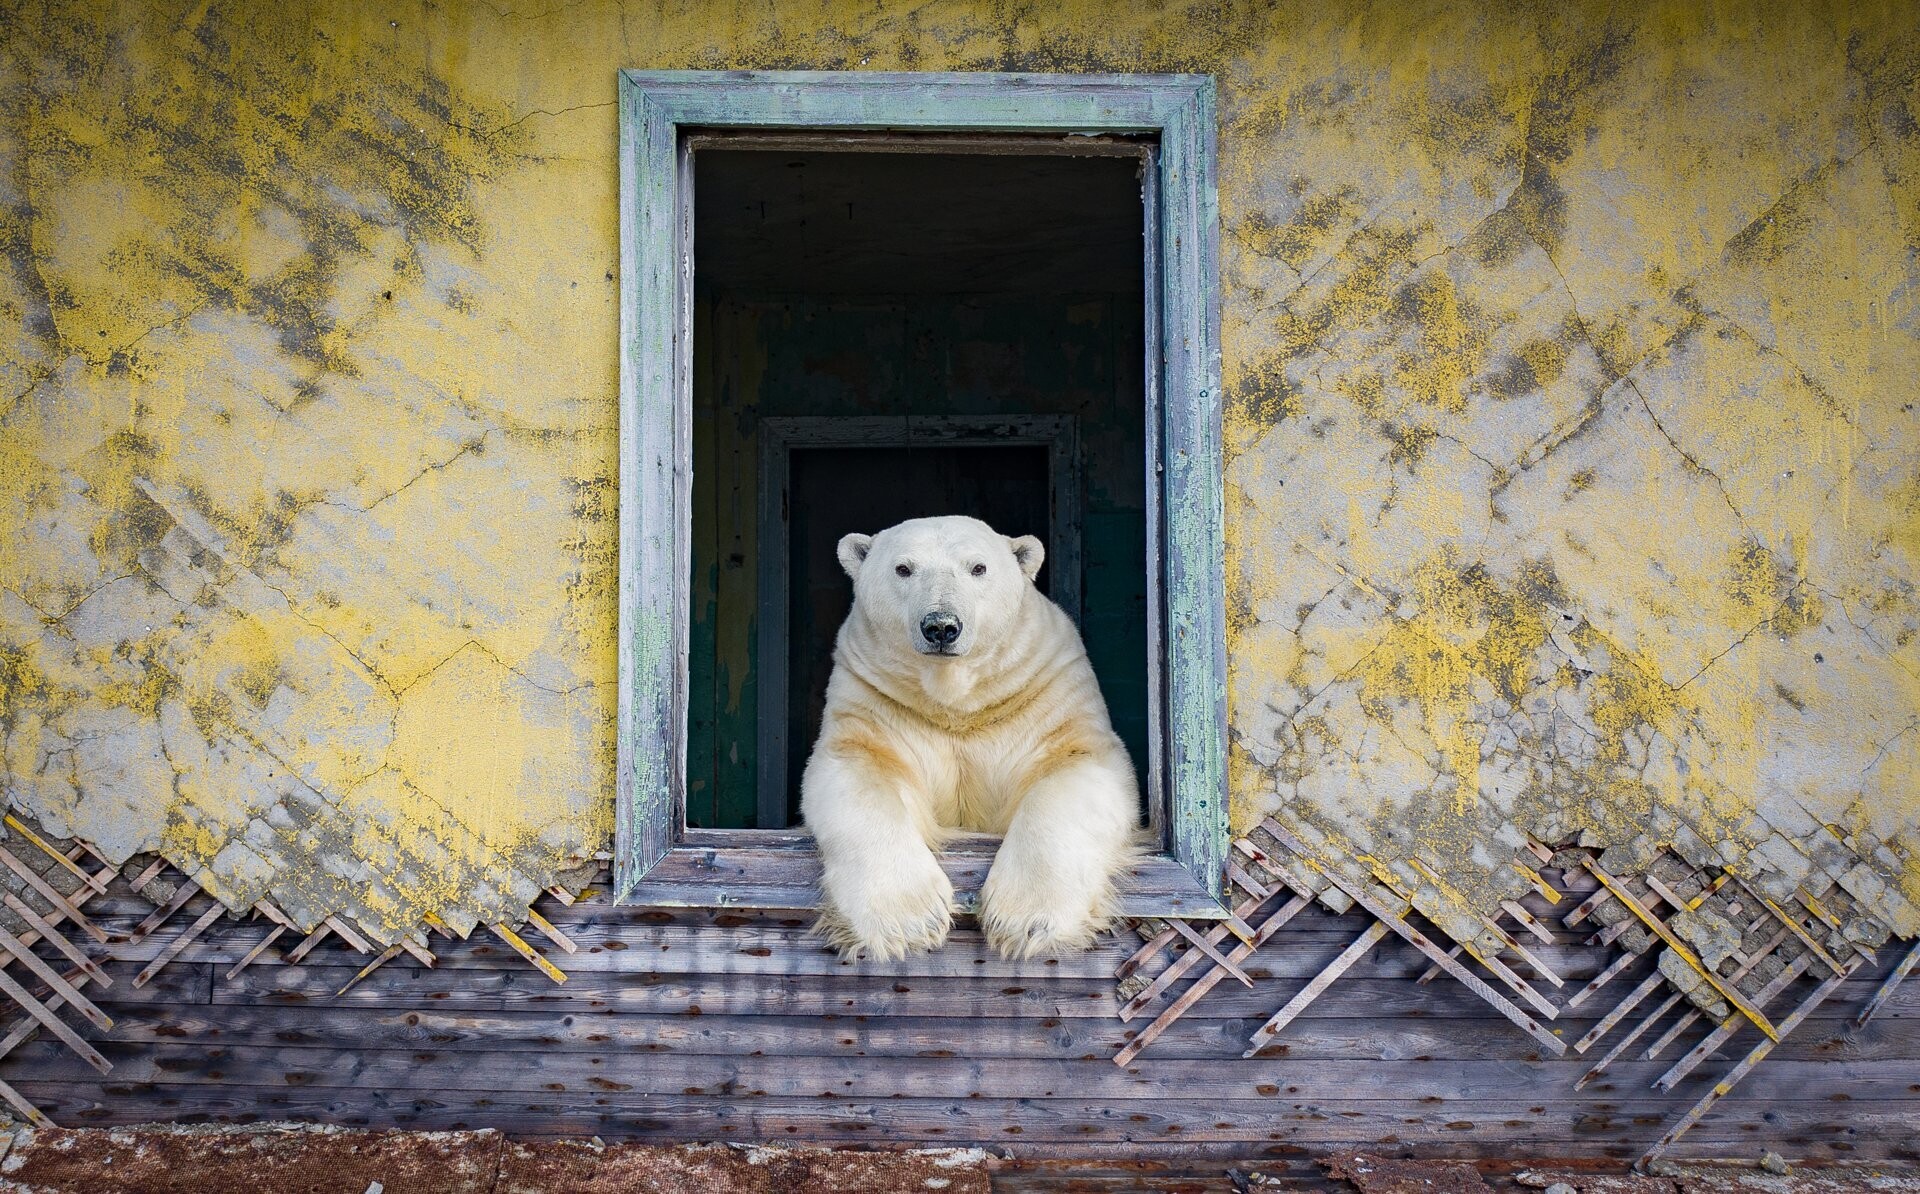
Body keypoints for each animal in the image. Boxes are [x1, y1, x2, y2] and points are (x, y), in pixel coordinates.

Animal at [798, 514, 1136, 963]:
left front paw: (1026, 921)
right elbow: (858, 771)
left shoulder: (1046, 692)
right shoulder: (875, 701)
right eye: (903, 568)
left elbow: (1075, 768)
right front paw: (909, 922)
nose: (941, 626)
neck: (957, 704)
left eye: (978, 568)